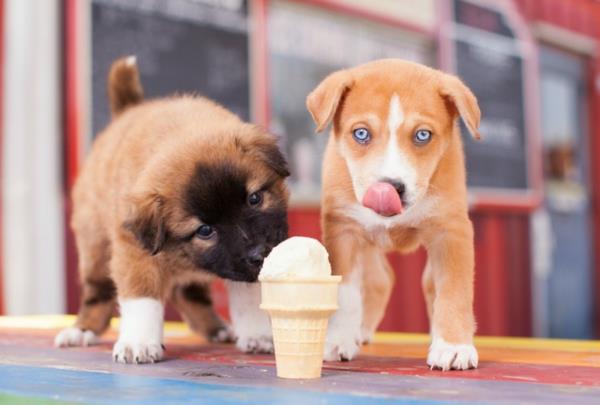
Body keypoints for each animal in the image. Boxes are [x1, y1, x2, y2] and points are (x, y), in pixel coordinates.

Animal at [55, 56, 290, 362]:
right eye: (205, 230)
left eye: (254, 199)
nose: (260, 253)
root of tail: (127, 111)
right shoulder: (135, 252)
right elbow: (141, 297)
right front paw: (139, 342)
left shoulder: (240, 264)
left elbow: (248, 295)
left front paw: (257, 333)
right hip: (94, 247)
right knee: (99, 294)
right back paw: (82, 331)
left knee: (189, 293)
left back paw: (216, 328)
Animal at [310, 59, 482, 370]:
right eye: (361, 134)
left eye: (422, 135)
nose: (390, 187)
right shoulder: (343, 230)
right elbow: (344, 291)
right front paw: (337, 339)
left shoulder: (451, 231)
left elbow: (453, 290)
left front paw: (453, 346)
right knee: (378, 281)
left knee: (423, 284)